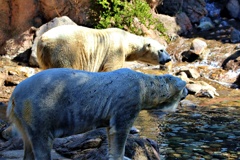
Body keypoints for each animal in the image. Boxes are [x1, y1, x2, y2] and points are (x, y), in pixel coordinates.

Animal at [6, 68, 188, 160]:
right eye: (185, 86)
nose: (187, 91)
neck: (144, 84)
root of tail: (14, 95)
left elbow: (110, 130)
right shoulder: (128, 100)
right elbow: (120, 130)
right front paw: (121, 156)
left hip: (23, 117)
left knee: (28, 142)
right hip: (39, 109)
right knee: (42, 142)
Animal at [36, 25, 171, 71]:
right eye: (161, 50)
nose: (169, 59)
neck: (127, 40)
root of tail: (43, 41)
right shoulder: (116, 50)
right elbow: (112, 68)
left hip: (43, 57)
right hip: (64, 50)